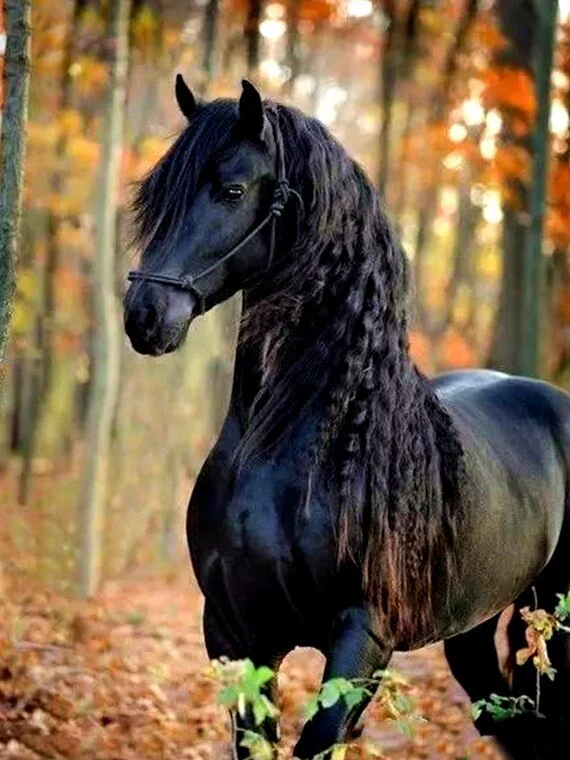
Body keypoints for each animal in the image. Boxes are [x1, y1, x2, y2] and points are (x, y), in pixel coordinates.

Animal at [123, 77, 570, 760]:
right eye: (155, 194)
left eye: (232, 190)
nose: (144, 315)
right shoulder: (234, 633)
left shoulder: (362, 638)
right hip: (475, 629)